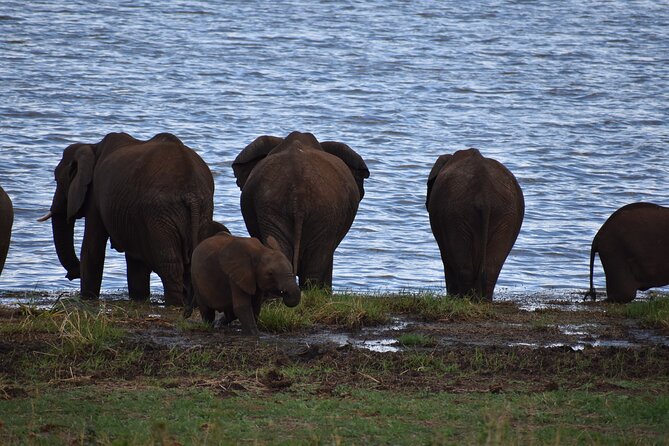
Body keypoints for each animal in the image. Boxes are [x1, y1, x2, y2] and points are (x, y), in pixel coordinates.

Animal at [38, 132, 215, 306]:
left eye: (57, 180)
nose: (72, 274)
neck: (92, 147)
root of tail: (191, 194)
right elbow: (135, 259)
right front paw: (139, 299)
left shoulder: (96, 196)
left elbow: (92, 248)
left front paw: (87, 298)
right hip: (201, 212)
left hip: (160, 214)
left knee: (170, 264)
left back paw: (174, 304)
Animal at [426, 148, 524, 300]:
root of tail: (484, 194)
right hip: (505, 214)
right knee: (492, 267)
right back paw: (482, 300)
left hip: (457, 214)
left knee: (462, 264)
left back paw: (463, 299)